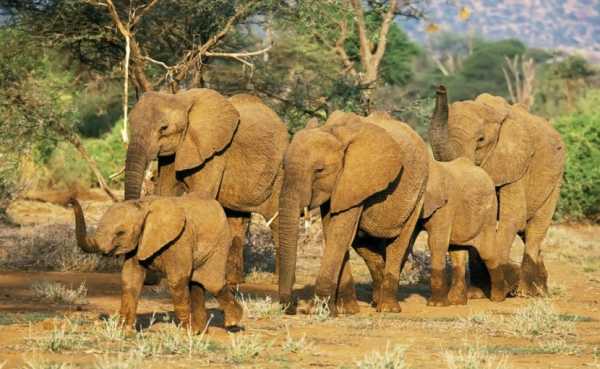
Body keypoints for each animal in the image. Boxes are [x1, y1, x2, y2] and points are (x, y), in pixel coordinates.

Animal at [68, 194, 241, 332]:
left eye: (120, 233)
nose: (70, 199)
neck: (144, 206)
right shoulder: (139, 241)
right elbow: (131, 278)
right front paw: (124, 330)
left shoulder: (180, 239)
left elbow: (177, 280)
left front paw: (187, 332)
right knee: (197, 283)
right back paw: (202, 330)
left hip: (220, 243)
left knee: (213, 283)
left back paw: (232, 323)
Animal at [124, 88, 288, 282]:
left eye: (164, 128)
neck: (181, 99)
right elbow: (165, 192)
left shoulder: (215, 152)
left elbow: (201, 196)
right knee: (236, 222)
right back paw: (232, 281)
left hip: (279, 171)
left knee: (276, 222)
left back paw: (275, 281)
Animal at [278, 110, 428, 314]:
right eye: (283, 167)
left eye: (319, 170)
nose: (292, 306)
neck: (333, 132)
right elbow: (333, 231)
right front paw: (346, 310)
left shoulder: (355, 181)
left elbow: (339, 233)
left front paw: (319, 311)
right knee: (364, 244)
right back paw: (376, 300)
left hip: (418, 192)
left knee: (399, 243)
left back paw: (387, 308)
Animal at [420, 156, 500, 304]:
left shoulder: (446, 206)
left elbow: (436, 242)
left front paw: (436, 304)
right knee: (457, 251)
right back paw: (457, 301)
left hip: (489, 213)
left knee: (487, 253)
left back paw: (498, 298)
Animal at [428, 85, 564, 294]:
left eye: (481, 139)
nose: (441, 87)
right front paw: (477, 293)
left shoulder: (516, 164)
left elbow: (513, 217)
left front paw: (504, 286)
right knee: (526, 232)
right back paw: (540, 288)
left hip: (555, 180)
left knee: (536, 227)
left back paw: (527, 291)